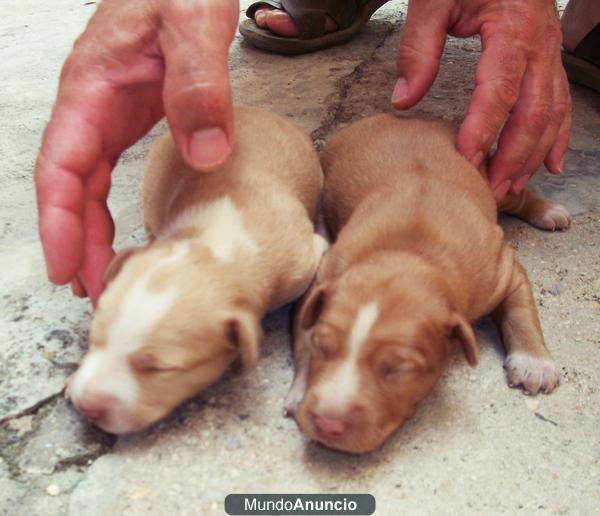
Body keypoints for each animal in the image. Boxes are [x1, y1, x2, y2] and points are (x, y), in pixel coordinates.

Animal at [286, 115, 572, 454]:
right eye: (322, 346)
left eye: (398, 369)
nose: (328, 423)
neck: (410, 253)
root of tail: (411, 118)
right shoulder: (323, 275)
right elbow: (304, 330)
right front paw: (301, 389)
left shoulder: (501, 269)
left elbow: (520, 311)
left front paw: (533, 362)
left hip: (494, 177)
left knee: (518, 193)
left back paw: (549, 211)